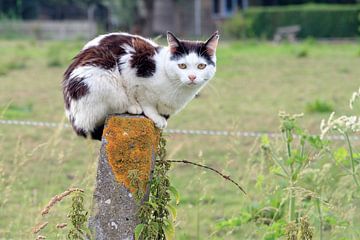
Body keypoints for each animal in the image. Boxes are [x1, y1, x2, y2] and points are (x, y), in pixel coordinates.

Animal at [63, 30, 218, 140]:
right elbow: (142, 97)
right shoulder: (130, 63)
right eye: (182, 66)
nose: (192, 77)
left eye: (201, 66)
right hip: (101, 74)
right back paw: (132, 107)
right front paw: (154, 116)